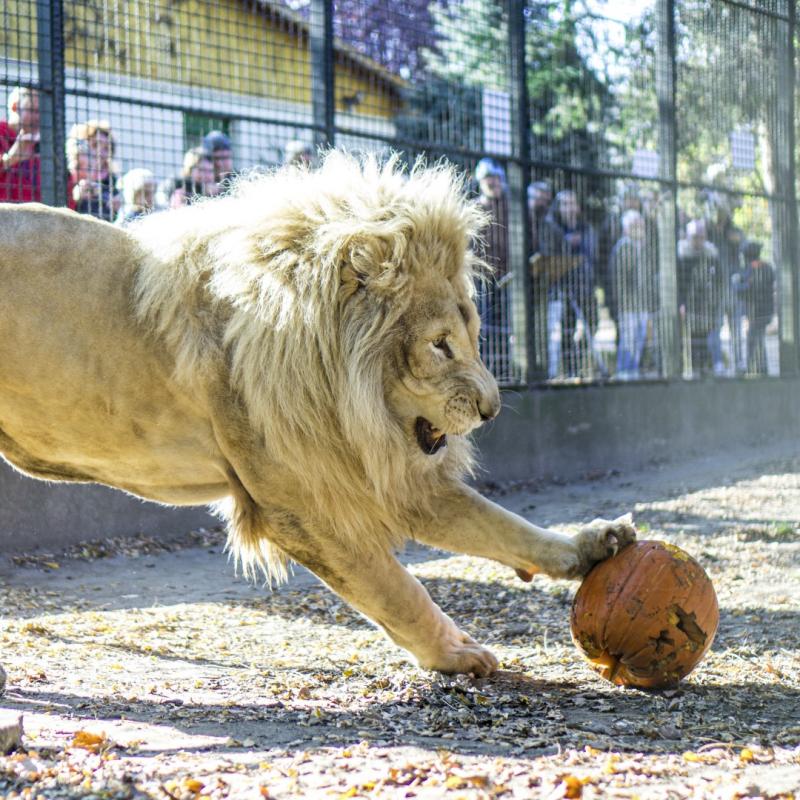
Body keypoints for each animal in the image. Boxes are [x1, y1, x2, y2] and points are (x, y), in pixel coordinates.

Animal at [0, 152, 636, 676]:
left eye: (476, 335)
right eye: (441, 345)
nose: (492, 409)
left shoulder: (383, 473)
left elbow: (499, 524)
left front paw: (593, 545)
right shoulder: (301, 505)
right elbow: (396, 590)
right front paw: (455, 654)